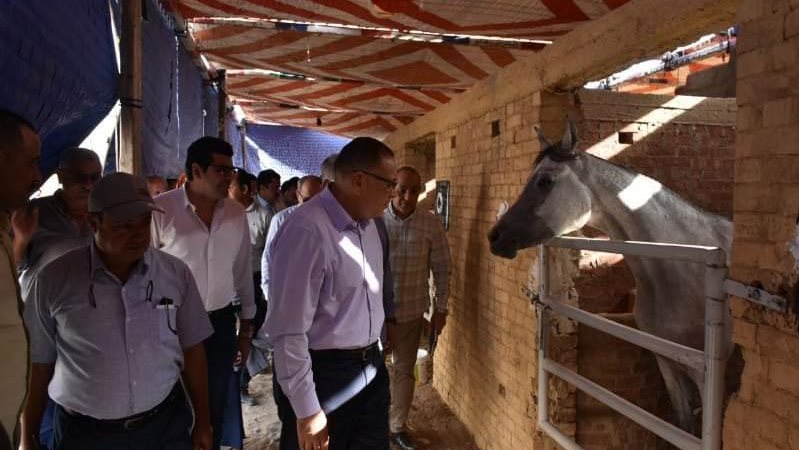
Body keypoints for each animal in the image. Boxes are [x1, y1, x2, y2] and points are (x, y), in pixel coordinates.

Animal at [484, 121, 736, 434]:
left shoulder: (707, 378)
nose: (495, 236)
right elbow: (682, 427)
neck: (687, 269)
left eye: (544, 181)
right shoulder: (667, 364)